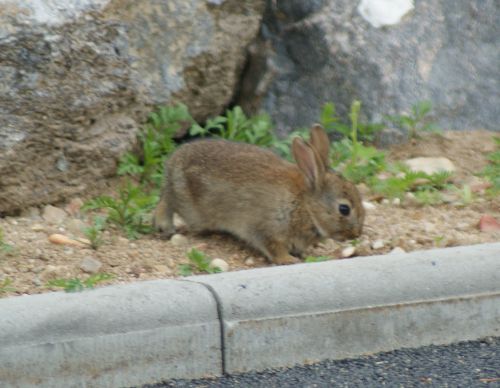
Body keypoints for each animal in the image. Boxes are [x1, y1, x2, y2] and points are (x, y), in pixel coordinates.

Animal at [152, 124, 364, 264]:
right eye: (344, 209)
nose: (357, 233)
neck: (305, 205)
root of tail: (173, 161)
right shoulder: (266, 228)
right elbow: (272, 247)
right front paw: (289, 260)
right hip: (189, 205)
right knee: (167, 201)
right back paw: (165, 226)